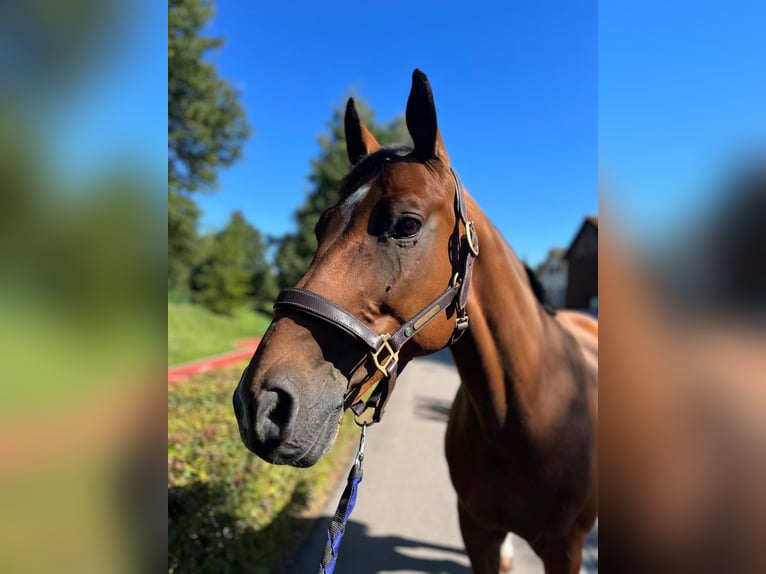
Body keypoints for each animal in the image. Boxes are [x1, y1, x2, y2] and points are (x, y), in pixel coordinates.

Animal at [234, 71, 600, 574]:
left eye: (406, 225)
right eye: (321, 227)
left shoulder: (565, 548)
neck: (524, 418)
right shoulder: (477, 530)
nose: (261, 403)